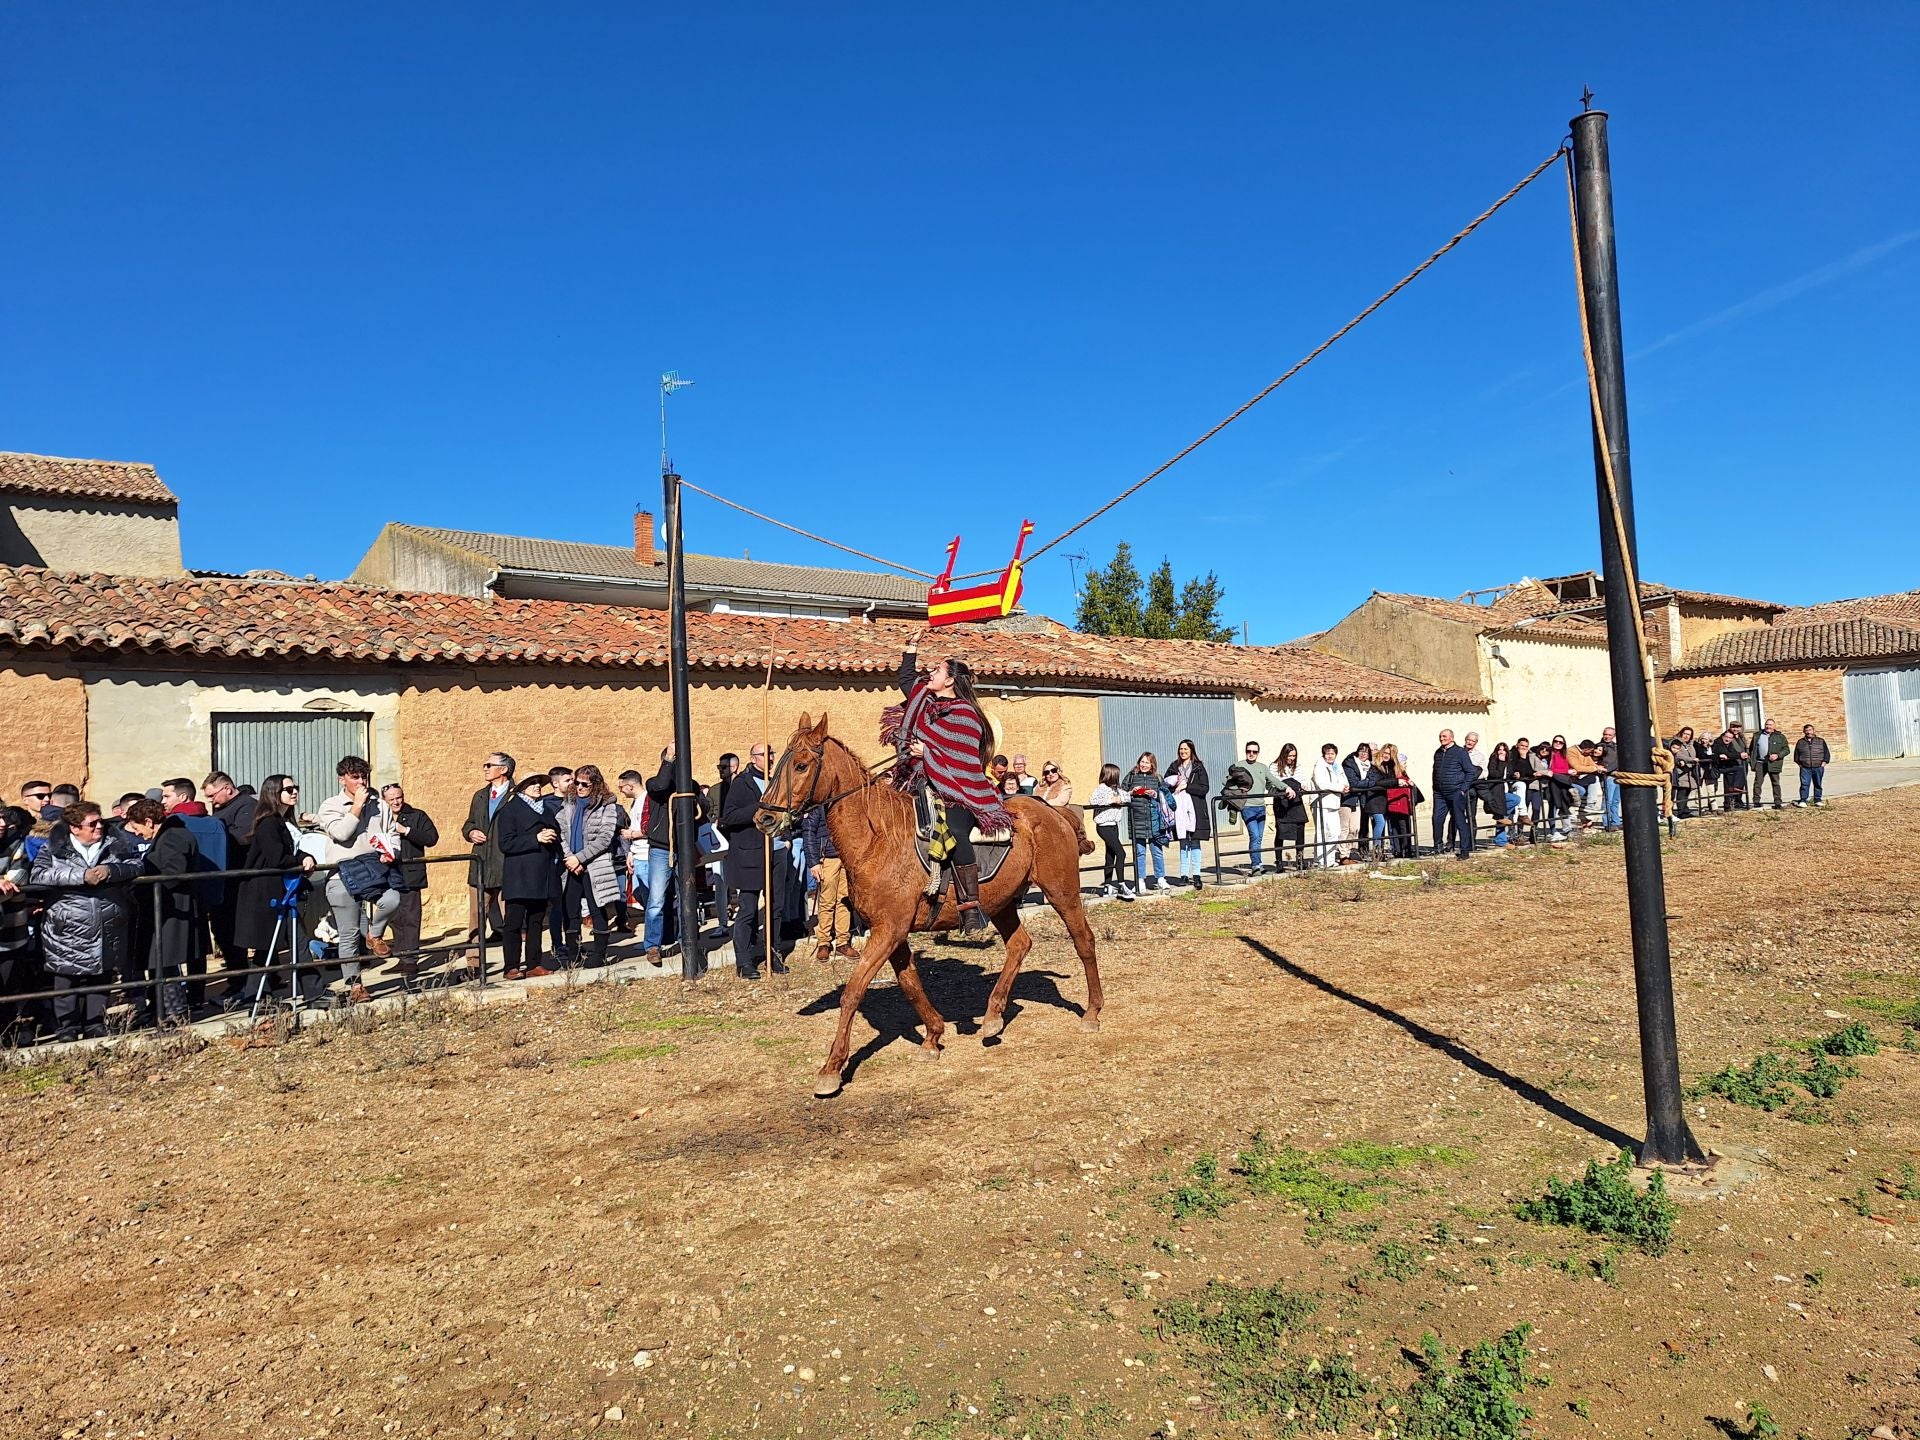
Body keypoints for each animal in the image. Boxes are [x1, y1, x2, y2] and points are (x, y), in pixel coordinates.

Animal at [752, 718, 1105, 1098]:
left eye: (801, 765)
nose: (764, 819)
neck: (878, 839)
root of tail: (1053, 811)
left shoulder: (888, 931)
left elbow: (853, 991)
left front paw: (831, 1070)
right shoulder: (892, 932)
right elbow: (910, 984)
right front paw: (933, 1036)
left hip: (1062, 891)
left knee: (1084, 941)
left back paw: (1091, 1013)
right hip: (1001, 903)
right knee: (1020, 945)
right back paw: (993, 1018)